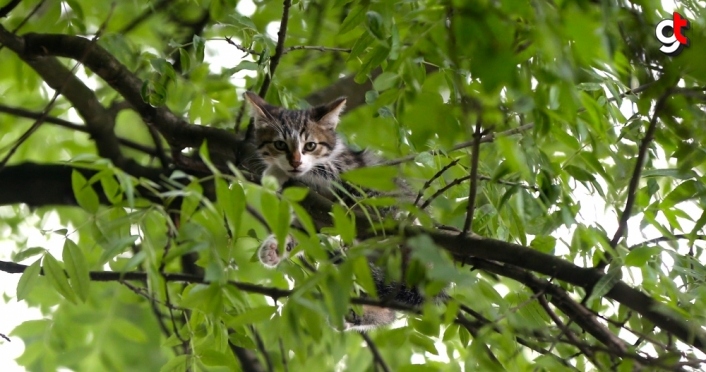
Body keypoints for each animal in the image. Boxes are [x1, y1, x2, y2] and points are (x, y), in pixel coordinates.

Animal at [242, 92, 428, 332]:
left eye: (310, 145)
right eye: (280, 144)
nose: (295, 162)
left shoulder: (349, 172)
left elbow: (324, 169)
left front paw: (276, 171)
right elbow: (304, 233)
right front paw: (276, 248)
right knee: (387, 305)